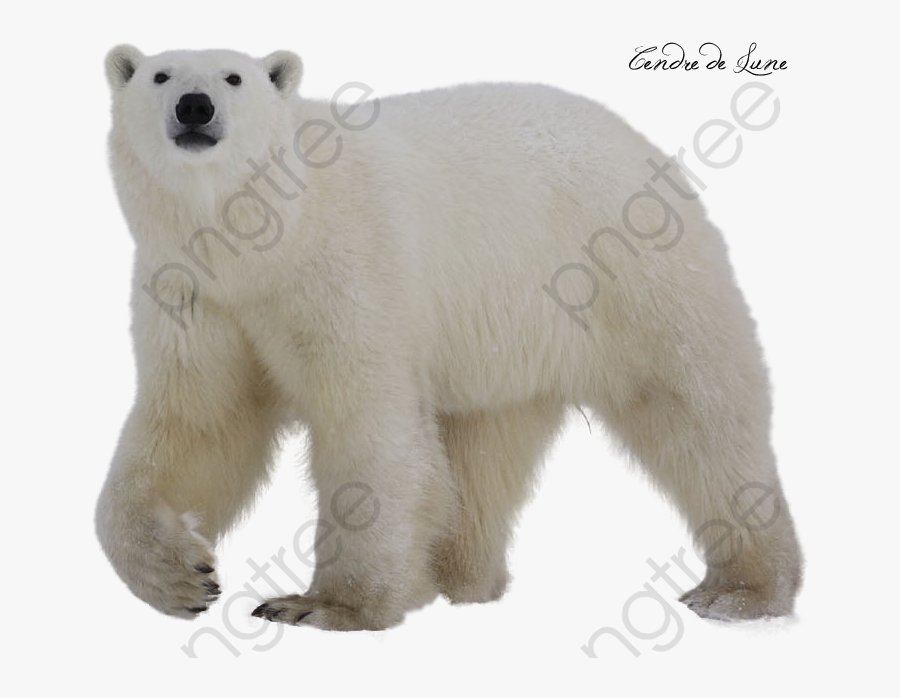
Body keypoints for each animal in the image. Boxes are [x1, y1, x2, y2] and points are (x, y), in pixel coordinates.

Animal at [96, 45, 802, 631]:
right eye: (160, 75)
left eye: (233, 77)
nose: (194, 106)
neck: (267, 238)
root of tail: (638, 140)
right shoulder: (199, 295)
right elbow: (201, 423)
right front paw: (182, 577)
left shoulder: (347, 267)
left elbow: (369, 423)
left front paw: (323, 606)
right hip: (507, 343)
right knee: (482, 452)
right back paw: (458, 577)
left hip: (629, 271)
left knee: (695, 412)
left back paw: (740, 592)